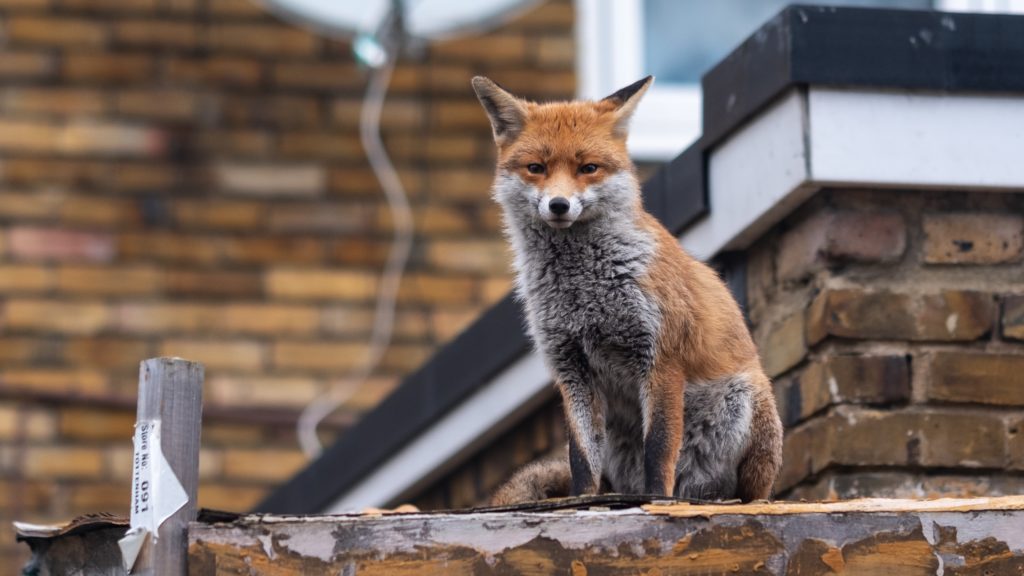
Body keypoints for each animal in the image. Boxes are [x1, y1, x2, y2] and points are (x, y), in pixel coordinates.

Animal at [473, 75, 782, 502]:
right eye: (536, 168)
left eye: (588, 168)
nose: (558, 205)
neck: (584, 291)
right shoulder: (571, 369)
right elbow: (581, 459)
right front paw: (583, 502)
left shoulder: (661, 357)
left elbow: (660, 448)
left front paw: (657, 500)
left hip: (747, 400)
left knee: (747, 490)